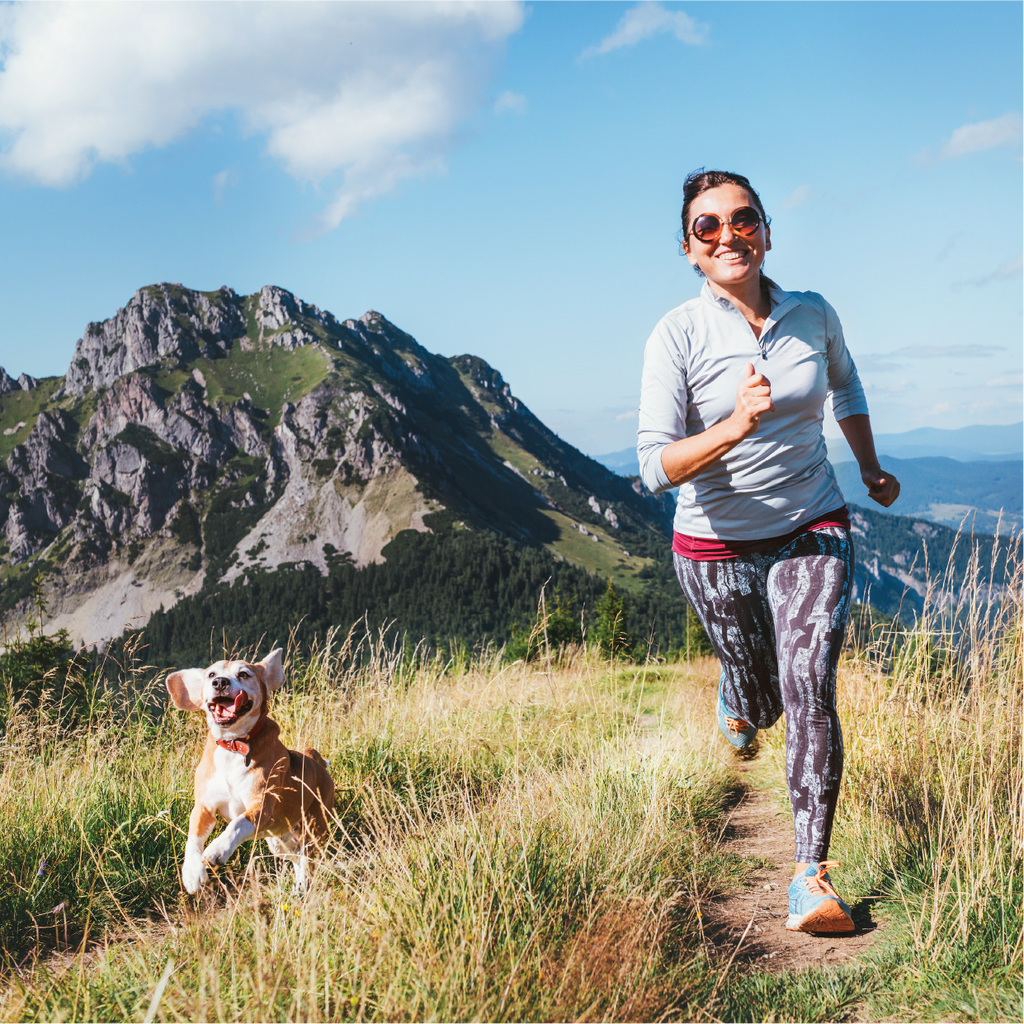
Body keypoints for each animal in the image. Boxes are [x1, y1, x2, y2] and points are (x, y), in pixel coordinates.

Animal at [166, 651, 335, 892]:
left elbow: (237, 824)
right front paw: (192, 872)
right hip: (278, 840)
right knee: (296, 856)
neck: (234, 745)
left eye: (244, 674)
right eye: (211, 675)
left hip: (313, 829)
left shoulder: (261, 806)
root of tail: (314, 759)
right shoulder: (204, 807)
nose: (220, 683)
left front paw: (218, 849)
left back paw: (302, 885)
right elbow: (193, 838)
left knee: (307, 857)